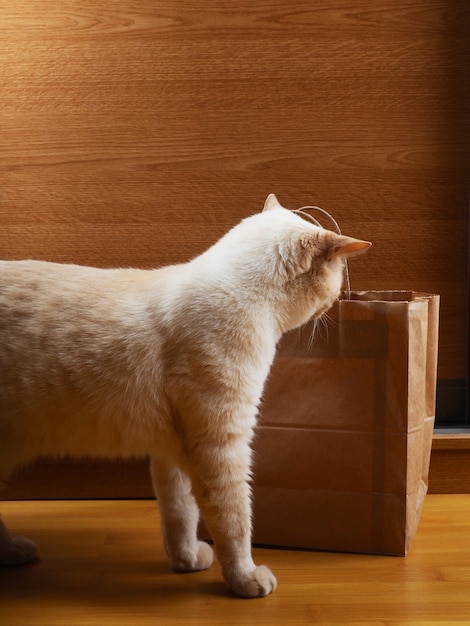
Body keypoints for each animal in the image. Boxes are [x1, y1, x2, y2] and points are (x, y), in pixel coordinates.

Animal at [0, 193, 370, 592]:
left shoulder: (173, 450)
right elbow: (234, 520)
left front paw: (187, 561)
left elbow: (180, 514)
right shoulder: (219, 446)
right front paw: (245, 579)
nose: (338, 301)